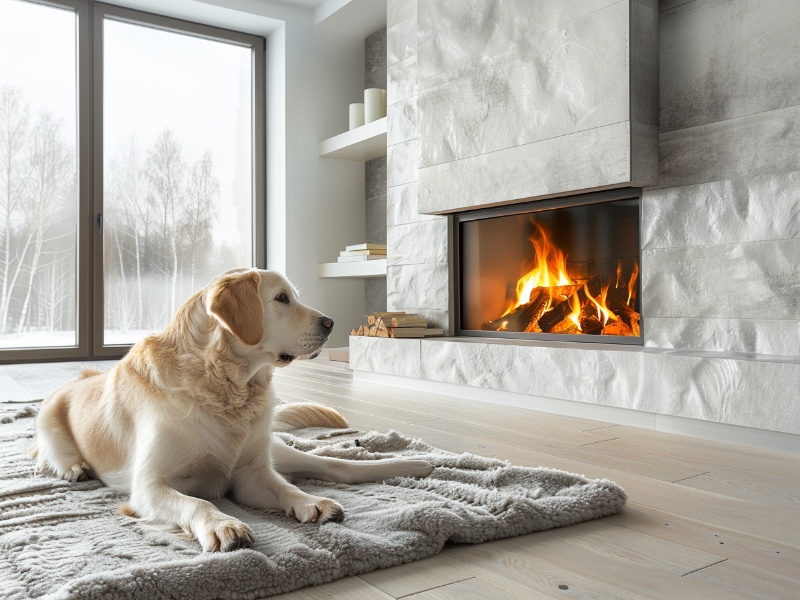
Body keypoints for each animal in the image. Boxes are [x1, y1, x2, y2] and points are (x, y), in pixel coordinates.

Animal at [31, 270, 434, 552]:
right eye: (281, 298)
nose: (331, 323)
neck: (227, 387)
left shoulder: (252, 474)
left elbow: (286, 487)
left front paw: (310, 502)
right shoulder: (148, 488)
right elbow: (195, 503)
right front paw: (222, 524)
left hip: (275, 451)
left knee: (335, 465)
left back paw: (417, 464)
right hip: (48, 416)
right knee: (51, 452)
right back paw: (73, 467)